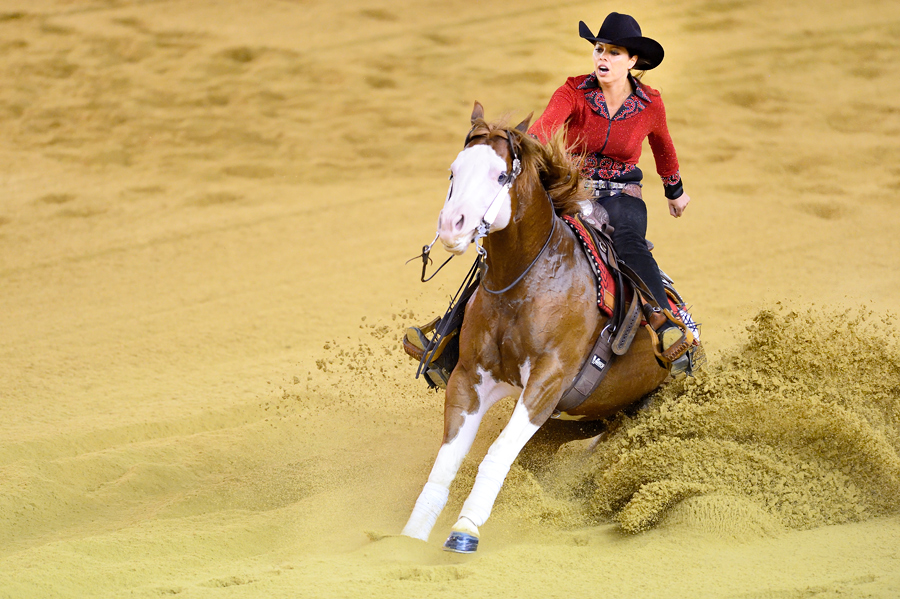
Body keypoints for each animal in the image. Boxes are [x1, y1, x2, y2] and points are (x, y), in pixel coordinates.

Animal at [404, 102, 680, 552]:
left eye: (500, 175)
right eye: (452, 171)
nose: (452, 225)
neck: (526, 283)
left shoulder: (547, 382)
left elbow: (496, 455)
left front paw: (464, 531)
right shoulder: (469, 378)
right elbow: (446, 464)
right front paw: (409, 538)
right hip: (573, 424)